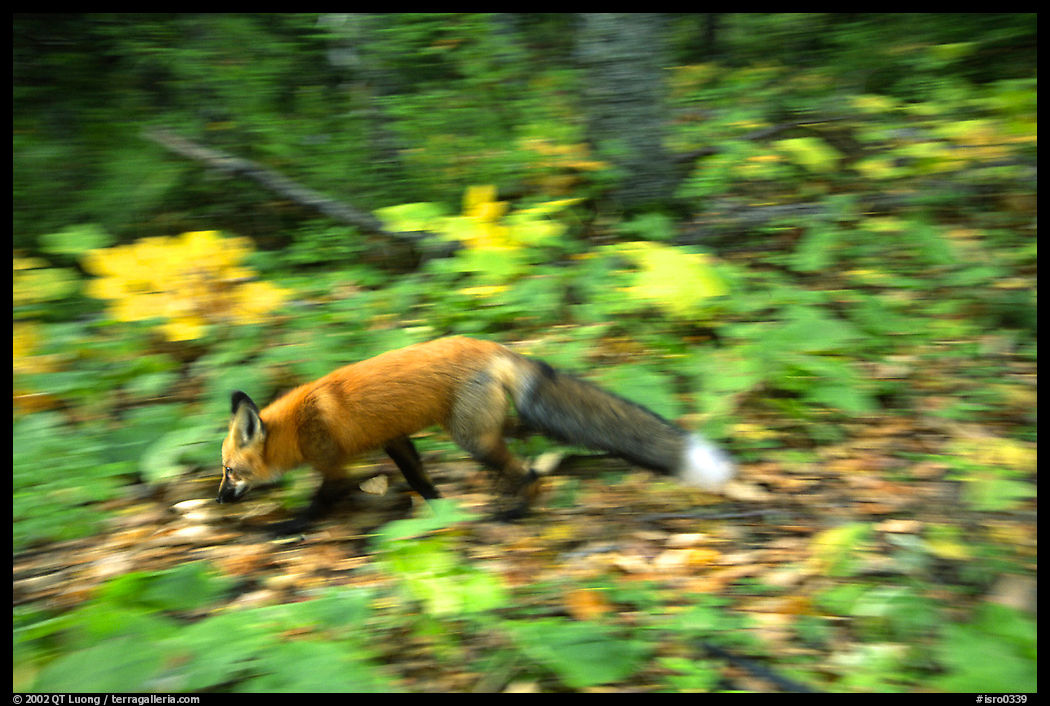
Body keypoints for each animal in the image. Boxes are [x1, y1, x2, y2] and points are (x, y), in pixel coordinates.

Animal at [218, 336, 733, 532]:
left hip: (470, 439)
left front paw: (288, 527)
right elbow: (420, 479)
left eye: (229, 472)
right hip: (485, 431)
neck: (301, 425)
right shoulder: (395, 439)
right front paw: (439, 511)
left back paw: (517, 509)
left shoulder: (334, 465)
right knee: (525, 449)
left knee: (524, 471)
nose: (219, 500)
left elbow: (321, 502)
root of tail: (494, 346)